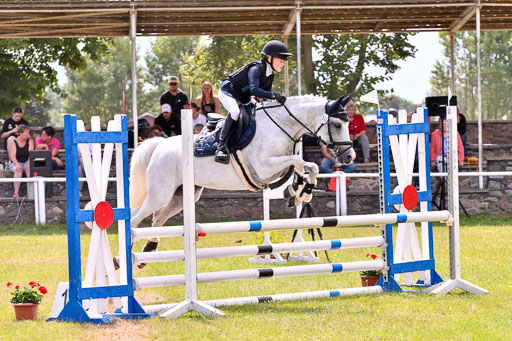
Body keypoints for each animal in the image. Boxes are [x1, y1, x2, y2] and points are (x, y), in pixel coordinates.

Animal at [129, 94, 352, 254]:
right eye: (337, 125)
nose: (350, 156)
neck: (281, 126)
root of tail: (160, 145)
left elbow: (310, 167)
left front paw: (298, 193)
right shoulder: (264, 167)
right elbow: (299, 163)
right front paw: (298, 191)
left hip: (182, 195)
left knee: (157, 218)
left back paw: (150, 247)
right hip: (160, 193)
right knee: (135, 218)